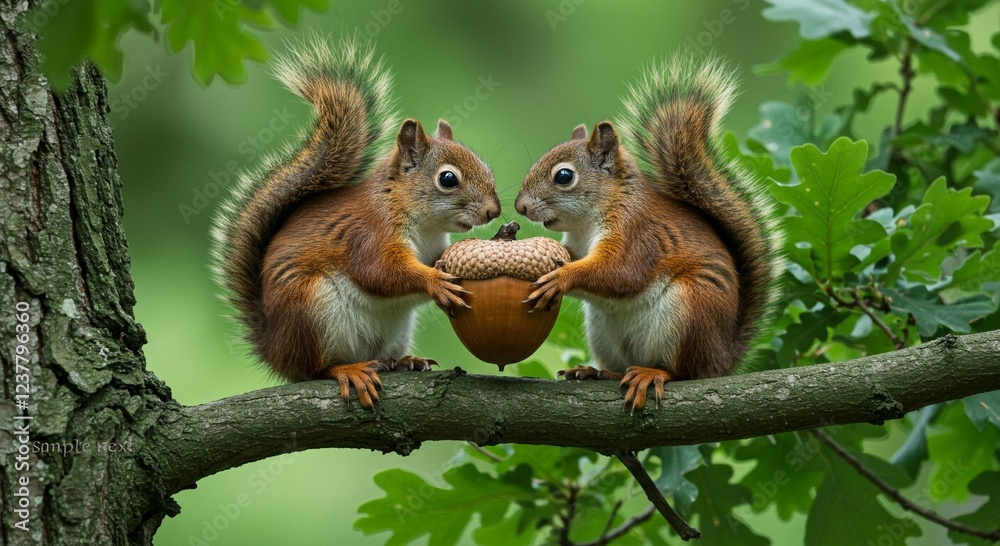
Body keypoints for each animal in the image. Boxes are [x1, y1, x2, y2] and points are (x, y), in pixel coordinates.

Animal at [212, 38, 501, 408]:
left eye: (485, 167)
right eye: (448, 179)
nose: (494, 211)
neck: (425, 225)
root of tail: (274, 351)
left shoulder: (433, 247)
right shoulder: (369, 233)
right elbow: (379, 272)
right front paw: (436, 282)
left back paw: (403, 361)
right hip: (311, 311)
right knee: (314, 369)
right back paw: (348, 370)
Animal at [514, 56, 783, 411]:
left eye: (564, 176)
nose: (519, 207)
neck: (586, 223)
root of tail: (723, 360)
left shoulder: (636, 234)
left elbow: (621, 273)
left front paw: (561, 278)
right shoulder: (577, 244)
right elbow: (578, 259)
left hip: (691, 311)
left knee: (683, 372)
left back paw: (651, 374)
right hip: (604, 333)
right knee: (623, 365)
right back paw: (597, 372)